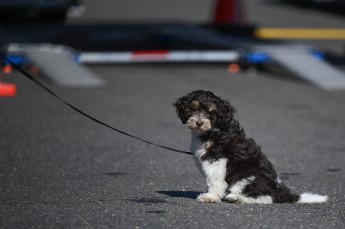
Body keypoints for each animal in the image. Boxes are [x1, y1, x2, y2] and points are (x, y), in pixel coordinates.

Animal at [173, 90, 326, 204]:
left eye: (211, 113)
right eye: (192, 109)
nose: (199, 123)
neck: (215, 130)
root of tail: (278, 190)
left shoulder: (217, 159)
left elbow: (215, 180)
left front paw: (211, 196)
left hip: (248, 177)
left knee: (265, 198)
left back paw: (236, 198)